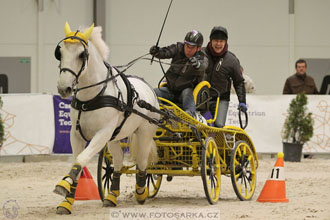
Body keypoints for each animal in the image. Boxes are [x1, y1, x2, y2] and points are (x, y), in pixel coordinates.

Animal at [53, 22, 159, 215]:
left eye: (82, 54)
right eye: (60, 52)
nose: (64, 88)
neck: (92, 97)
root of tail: (149, 89)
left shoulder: (102, 134)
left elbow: (82, 159)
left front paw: (63, 185)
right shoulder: (76, 134)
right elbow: (77, 162)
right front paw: (66, 201)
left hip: (145, 134)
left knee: (142, 162)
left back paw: (141, 192)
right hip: (114, 139)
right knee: (117, 162)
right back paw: (112, 196)